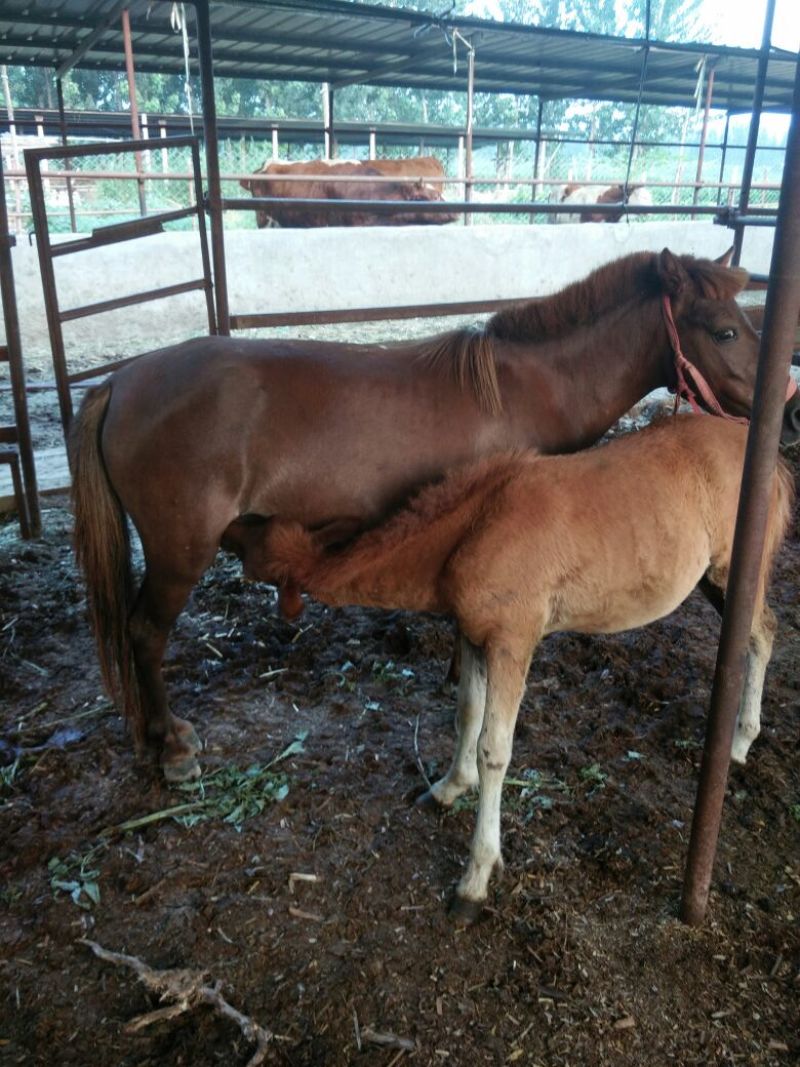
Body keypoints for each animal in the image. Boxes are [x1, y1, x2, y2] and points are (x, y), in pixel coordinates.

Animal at [69, 247, 800, 782]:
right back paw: (170, 745)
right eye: (725, 330)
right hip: (179, 551)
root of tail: (119, 382)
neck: (528, 387)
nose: (786, 410)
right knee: (144, 634)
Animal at [253, 415, 794, 921]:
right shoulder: (474, 637)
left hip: (733, 574)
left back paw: (740, 740)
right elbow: (466, 715)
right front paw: (448, 787)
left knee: (764, 635)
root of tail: (771, 460)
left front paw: (475, 878)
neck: (475, 527)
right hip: (712, 580)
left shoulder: (512, 641)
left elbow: (494, 749)